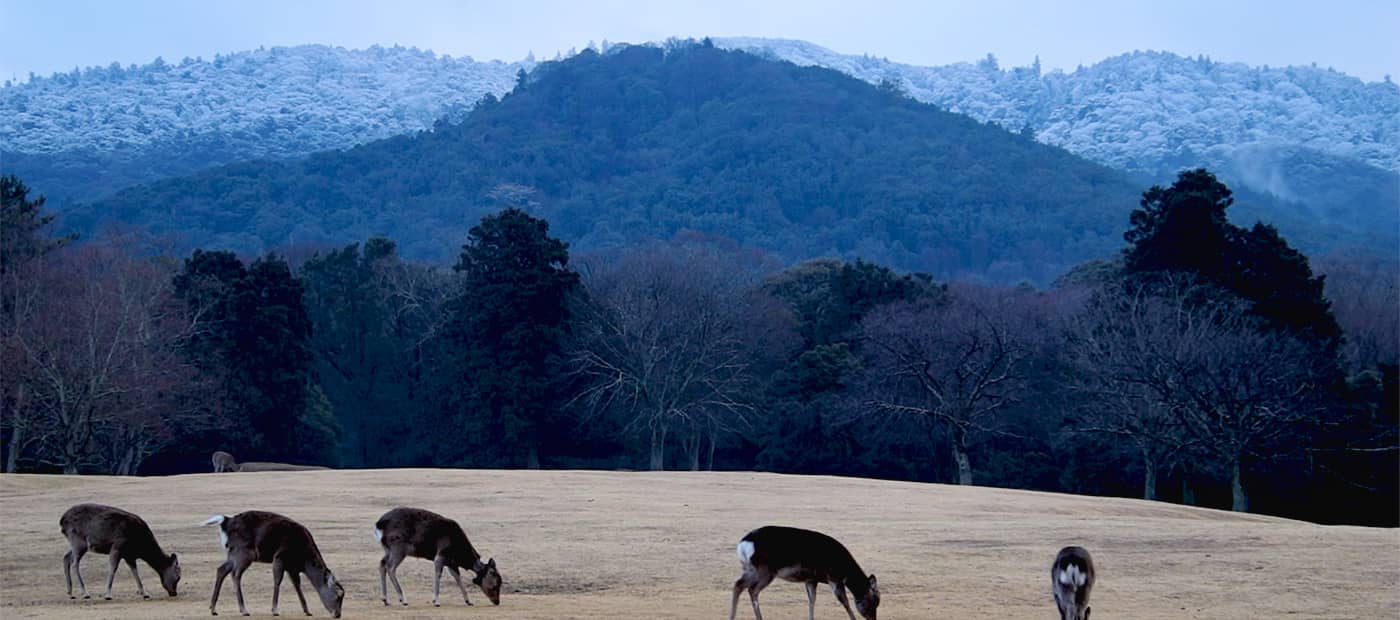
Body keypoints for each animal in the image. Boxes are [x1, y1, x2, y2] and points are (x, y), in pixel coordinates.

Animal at [201, 512, 343, 618]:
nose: (337, 615)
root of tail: (226, 521)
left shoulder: (292, 567)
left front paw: (307, 611)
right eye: (338, 596)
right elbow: (278, 581)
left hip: (233, 553)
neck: (303, 560)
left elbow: (297, 585)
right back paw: (244, 610)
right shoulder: (280, 556)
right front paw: (275, 610)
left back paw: (213, 609)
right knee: (235, 575)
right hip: (244, 552)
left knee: (221, 569)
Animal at [372, 509, 504, 607]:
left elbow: (458, 578)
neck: (459, 553)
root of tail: (379, 524)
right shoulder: (440, 556)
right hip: (398, 547)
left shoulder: (451, 563)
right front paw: (436, 601)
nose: (497, 602)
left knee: (382, 563)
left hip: (387, 548)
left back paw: (385, 599)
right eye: (495, 585)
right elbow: (438, 574)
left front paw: (469, 601)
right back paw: (403, 599)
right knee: (390, 567)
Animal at [728, 526, 879, 620]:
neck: (844, 568)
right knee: (752, 589)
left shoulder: (811, 579)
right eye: (872, 602)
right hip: (765, 571)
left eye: (877, 603)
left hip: (750, 569)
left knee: (739, 585)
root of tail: (743, 544)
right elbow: (845, 601)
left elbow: (812, 600)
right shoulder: (834, 578)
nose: (873, 619)